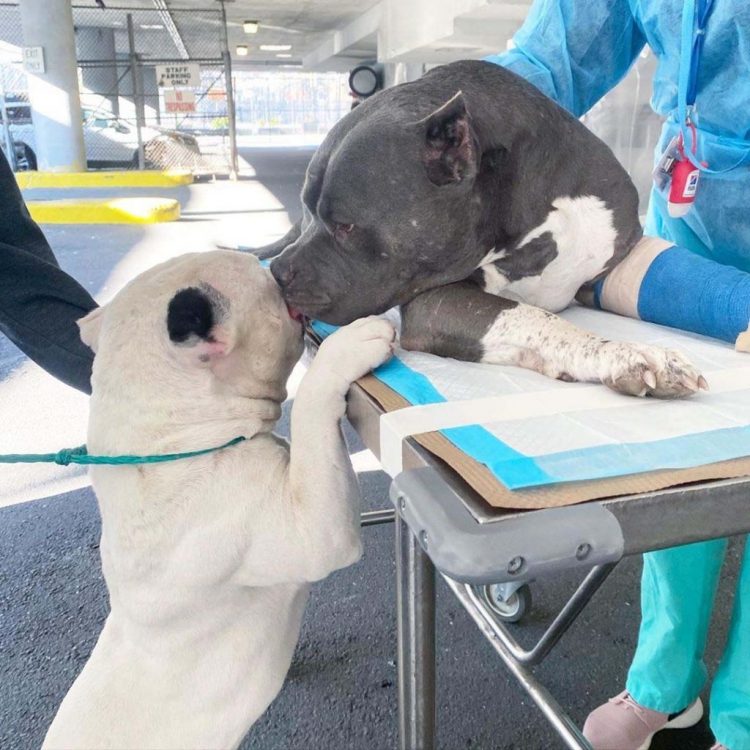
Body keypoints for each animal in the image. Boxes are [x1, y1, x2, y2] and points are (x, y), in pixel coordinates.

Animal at [43, 250, 396, 748]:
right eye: (268, 284)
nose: (278, 265)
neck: (174, 436)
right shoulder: (316, 529)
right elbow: (311, 408)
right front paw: (347, 346)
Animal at [262, 60, 704, 400]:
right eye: (307, 207)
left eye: (346, 226)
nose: (280, 274)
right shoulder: (434, 302)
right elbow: (534, 316)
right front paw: (623, 352)